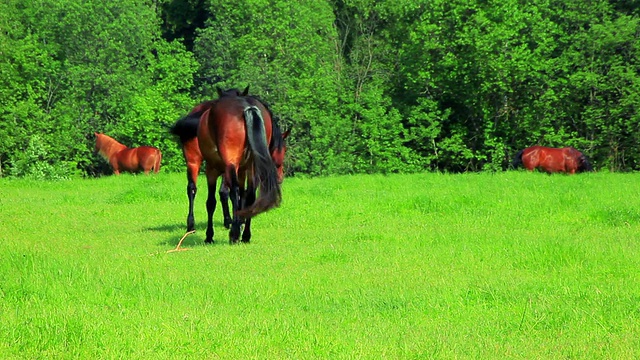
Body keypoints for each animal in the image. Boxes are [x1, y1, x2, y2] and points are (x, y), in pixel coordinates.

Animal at [171, 88, 288, 245]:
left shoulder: (216, 169)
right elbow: (237, 196)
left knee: (201, 190)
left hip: (203, 162)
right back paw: (240, 233)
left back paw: (230, 230)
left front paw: (211, 234)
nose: (280, 178)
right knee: (241, 194)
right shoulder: (237, 169)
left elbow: (213, 201)